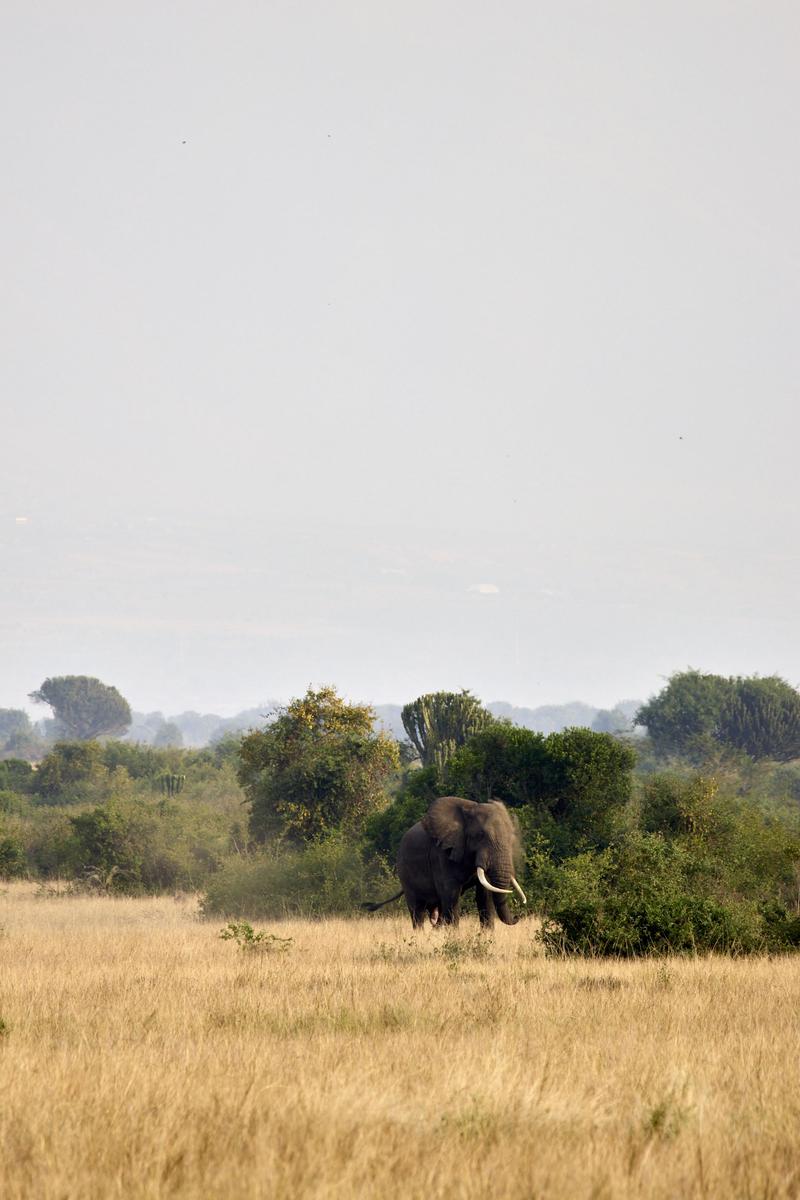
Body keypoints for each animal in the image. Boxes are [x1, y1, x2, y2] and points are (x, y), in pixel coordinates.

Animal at [362, 796, 525, 926]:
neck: (470, 808)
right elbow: (451, 897)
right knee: (417, 911)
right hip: (404, 873)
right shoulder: (441, 855)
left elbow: (484, 897)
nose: (518, 916)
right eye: (480, 835)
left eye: (512, 837)